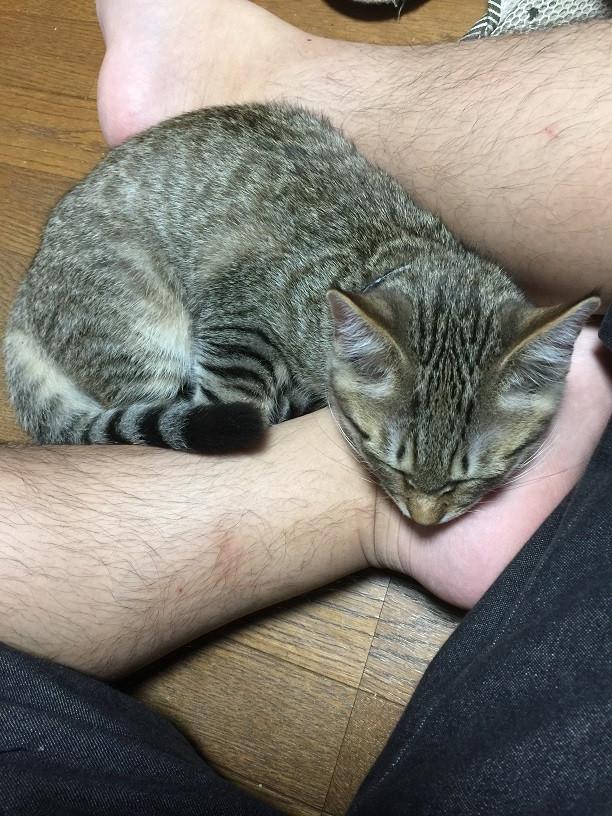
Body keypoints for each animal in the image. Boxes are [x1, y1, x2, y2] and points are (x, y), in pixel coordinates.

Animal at [4, 103, 598, 525]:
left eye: (470, 477)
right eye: (387, 459)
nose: (424, 520)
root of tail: (25, 300)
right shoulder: (239, 310)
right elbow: (237, 400)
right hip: (139, 332)